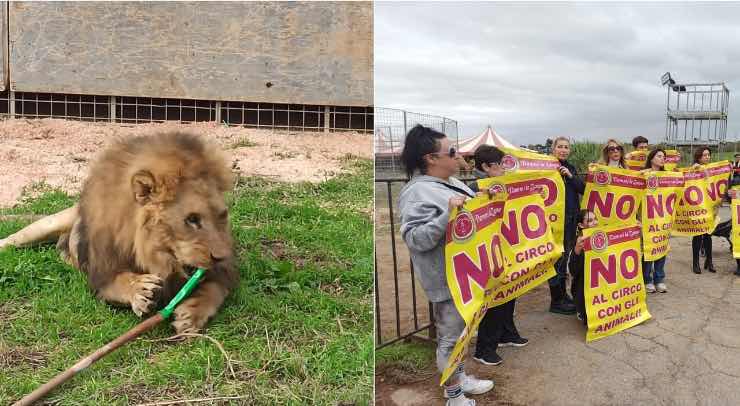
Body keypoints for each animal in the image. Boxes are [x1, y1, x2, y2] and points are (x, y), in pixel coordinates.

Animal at [0, 132, 238, 334]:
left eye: (222, 215)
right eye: (191, 219)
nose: (222, 257)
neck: (155, 255)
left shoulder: (222, 274)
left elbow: (215, 289)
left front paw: (192, 314)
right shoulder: (101, 275)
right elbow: (117, 281)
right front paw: (140, 288)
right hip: (45, 225)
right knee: (13, 238)